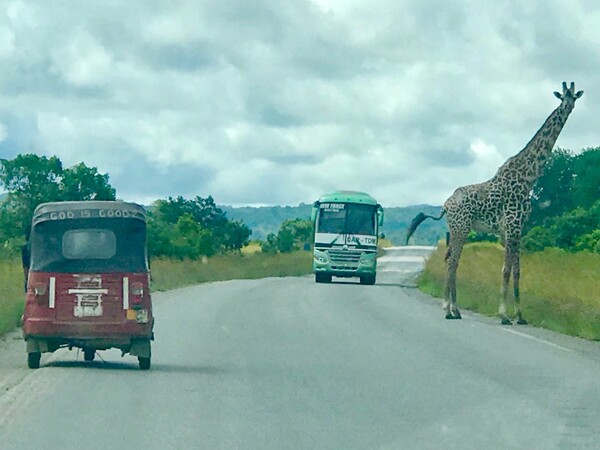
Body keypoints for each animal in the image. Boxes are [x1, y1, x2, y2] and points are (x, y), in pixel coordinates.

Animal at [406, 81, 584, 324]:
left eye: (574, 97)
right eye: (562, 97)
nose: (568, 107)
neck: (528, 177)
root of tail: (446, 205)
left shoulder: (517, 229)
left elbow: (517, 271)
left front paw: (520, 316)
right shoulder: (511, 227)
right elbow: (505, 270)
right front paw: (504, 315)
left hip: (456, 229)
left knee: (450, 261)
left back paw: (452, 308)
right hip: (461, 228)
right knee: (453, 264)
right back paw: (452, 310)